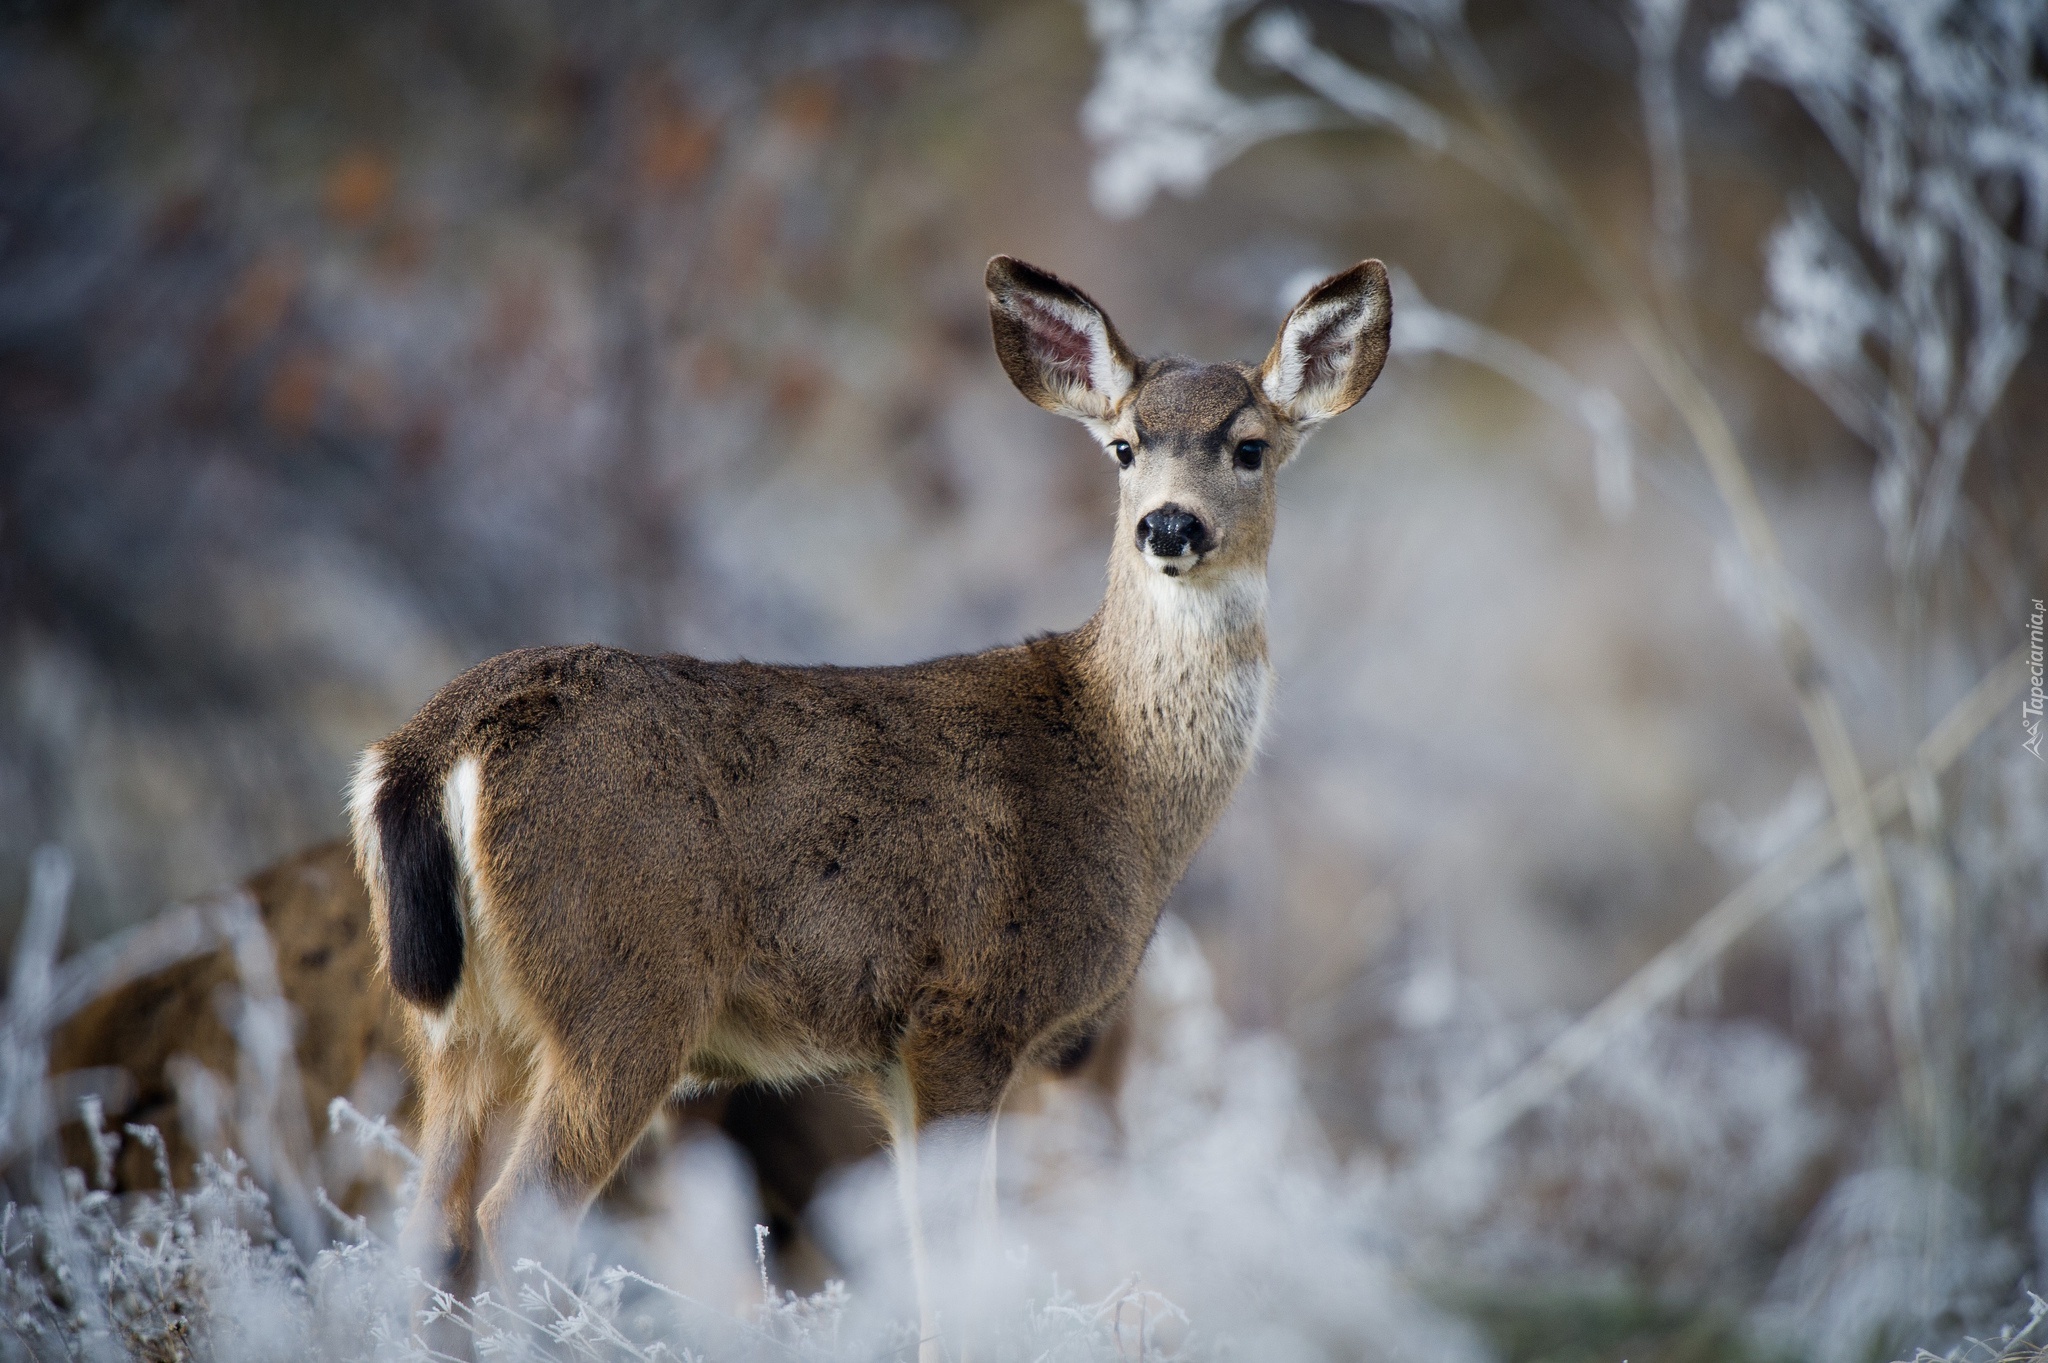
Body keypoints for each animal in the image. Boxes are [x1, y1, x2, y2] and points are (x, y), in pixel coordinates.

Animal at [348, 251, 1392, 1350]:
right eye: (1123, 446)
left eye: (1249, 446)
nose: (1169, 525)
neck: (1118, 766)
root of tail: (430, 744)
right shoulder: (968, 1008)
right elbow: (958, 1266)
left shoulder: (891, 1049)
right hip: (622, 987)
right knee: (516, 1219)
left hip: (458, 1026)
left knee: (429, 1233)